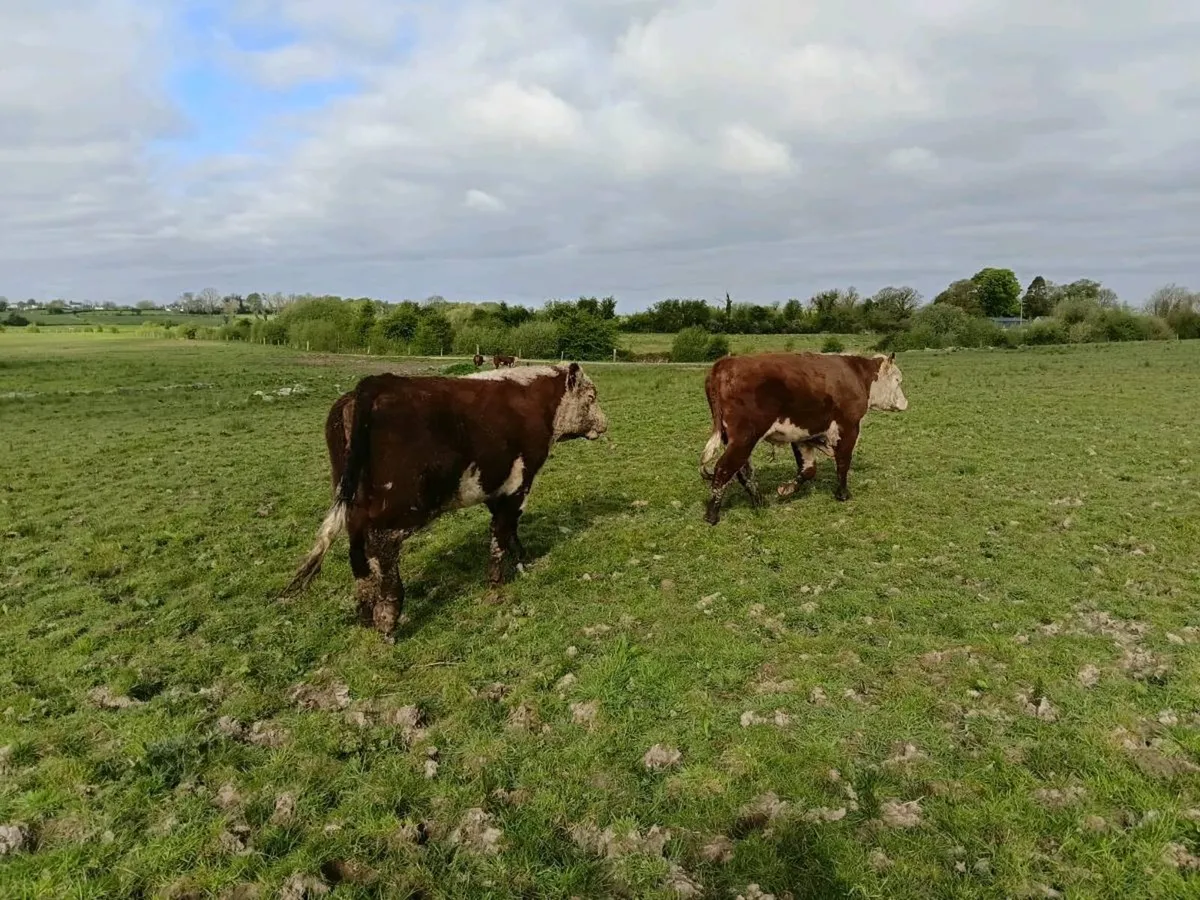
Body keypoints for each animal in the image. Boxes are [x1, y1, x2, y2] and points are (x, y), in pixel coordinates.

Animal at [282, 363, 609, 638]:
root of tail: (378, 384)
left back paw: (365, 613)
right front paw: (498, 579)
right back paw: (388, 618)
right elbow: (503, 530)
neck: (534, 401)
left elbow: (507, 529)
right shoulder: (519, 482)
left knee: (357, 549)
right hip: (402, 505)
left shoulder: (495, 485)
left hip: (353, 503)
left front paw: (521, 559)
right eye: (591, 396)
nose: (605, 424)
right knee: (381, 546)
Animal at [699, 351, 908, 524]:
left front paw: (786, 489)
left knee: (743, 471)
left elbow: (808, 469)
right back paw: (712, 515)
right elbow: (843, 462)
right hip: (744, 438)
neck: (857, 374)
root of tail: (726, 363)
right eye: (898, 380)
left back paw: (760, 502)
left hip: (734, 439)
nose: (905, 403)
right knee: (724, 469)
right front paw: (843, 494)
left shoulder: (801, 435)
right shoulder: (848, 428)